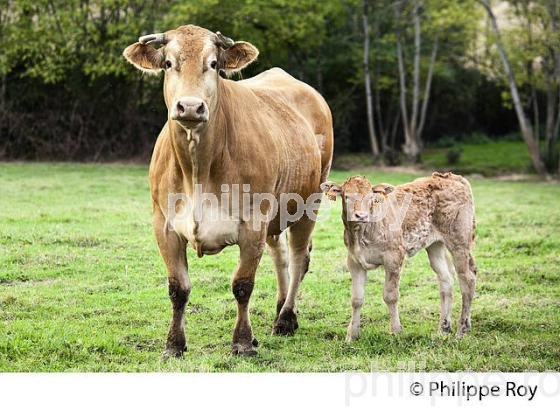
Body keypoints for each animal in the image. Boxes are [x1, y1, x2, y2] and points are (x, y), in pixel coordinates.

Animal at [123, 25, 332, 358]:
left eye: (213, 64)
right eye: (168, 63)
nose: (190, 106)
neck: (197, 170)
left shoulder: (253, 223)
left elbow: (242, 285)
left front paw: (243, 342)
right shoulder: (164, 225)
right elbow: (177, 288)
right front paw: (174, 344)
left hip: (310, 201)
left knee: (300, 257)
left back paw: (286, 318)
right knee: (280, 255)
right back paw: (279, 308)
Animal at [322, 171, 474, 342]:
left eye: (371, 197)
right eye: (347, 196)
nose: (361, 215)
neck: (363, 232)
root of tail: (450, 176)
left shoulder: (394, 257)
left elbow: (391, 296)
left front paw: (396, 331)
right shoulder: (354, 262)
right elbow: (356, 299)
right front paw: (351, 335)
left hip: (459, 242)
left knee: (467, 280)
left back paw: (462, 330)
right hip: (435, 245)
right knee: (446, 280)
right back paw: (443, 329)